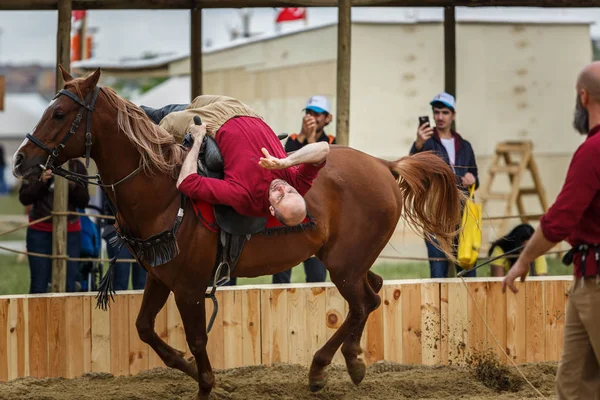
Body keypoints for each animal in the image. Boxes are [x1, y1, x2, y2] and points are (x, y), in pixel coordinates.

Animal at [12, 67, 464, 398]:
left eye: (58, 114)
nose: (20, 160)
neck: (162, 188)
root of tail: (385, 165)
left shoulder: (190, 287)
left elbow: (197, 339)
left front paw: (206, 384)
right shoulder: (160, 276)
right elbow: (145, 329)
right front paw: (192, 370)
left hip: (343, 265)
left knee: (362, 302)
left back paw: (322, 368)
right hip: (346, 260)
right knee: (374, 291)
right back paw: (352, 359)